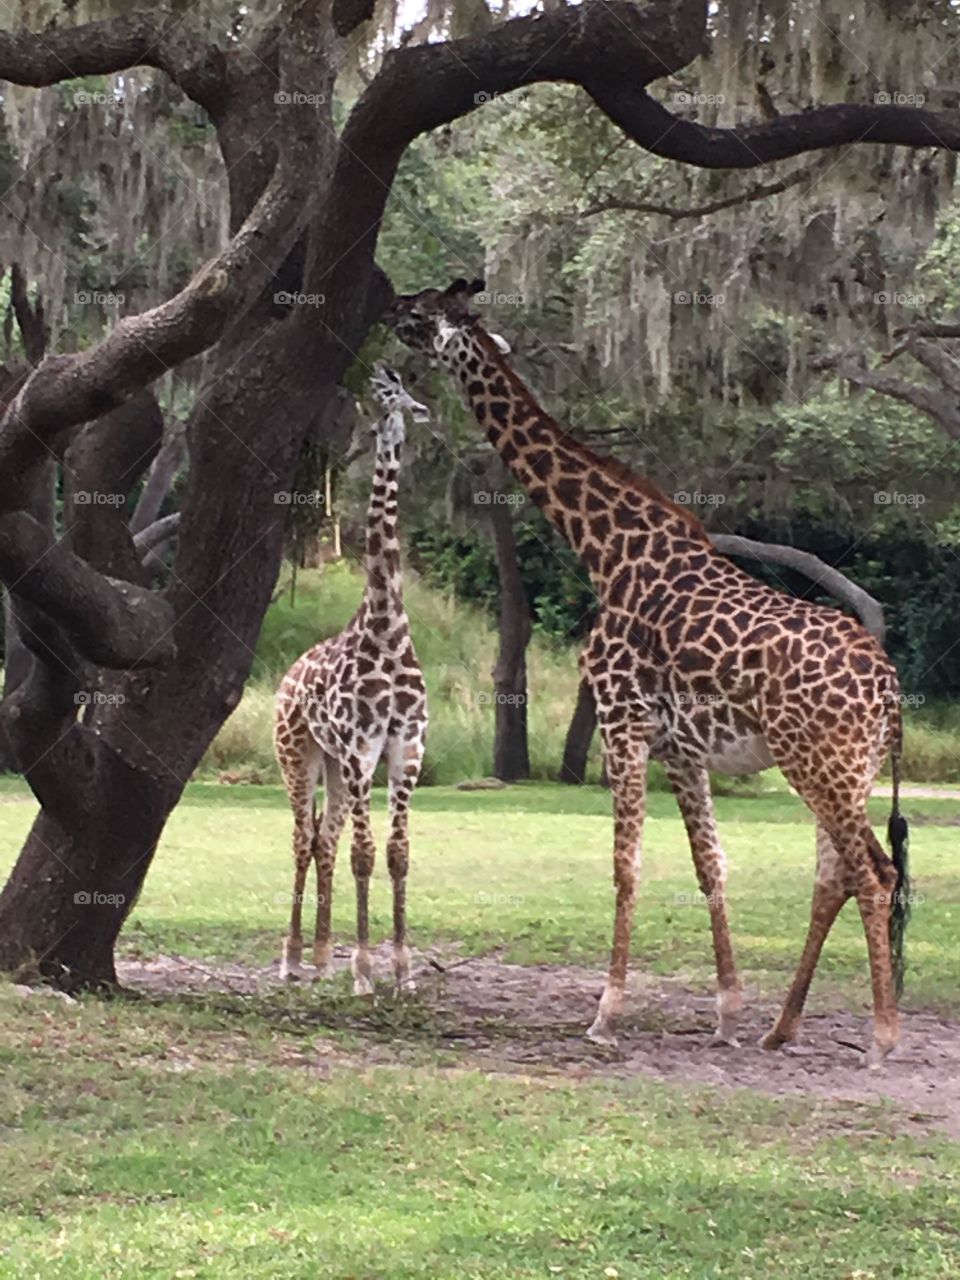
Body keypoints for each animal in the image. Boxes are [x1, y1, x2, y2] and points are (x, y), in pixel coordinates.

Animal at [385, 278, 910, 1067]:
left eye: (423, 312)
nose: (389, 315)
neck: (604, 549)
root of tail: (889, 689)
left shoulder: (620, 722)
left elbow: (625, 865)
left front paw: (606, 1014)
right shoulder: (683, 750)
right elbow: (710, 865)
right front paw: (726, 1013)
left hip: (820, 762)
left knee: (873, 872)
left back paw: (881, 1038)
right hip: (848, 768)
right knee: (838, 874)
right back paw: (779, 1027)